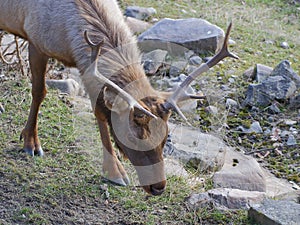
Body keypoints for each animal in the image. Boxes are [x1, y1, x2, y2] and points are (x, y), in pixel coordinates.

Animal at [0, 0, 239, 195]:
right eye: (133, 137)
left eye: (165, 137)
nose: (159, 187)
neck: (70, 40)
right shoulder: (36, 41)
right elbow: (39, 92)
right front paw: (31, 142)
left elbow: (99, 111)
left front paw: (114, 170)